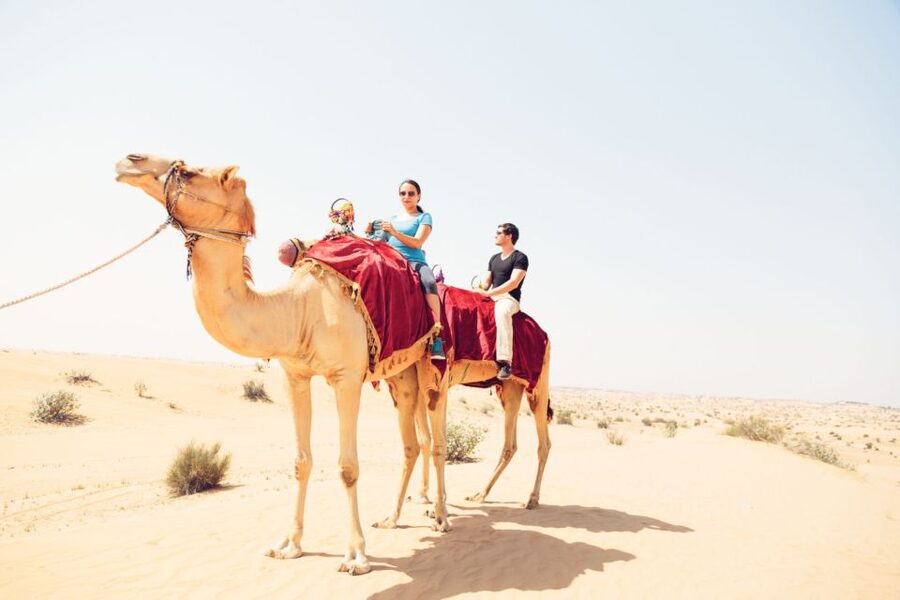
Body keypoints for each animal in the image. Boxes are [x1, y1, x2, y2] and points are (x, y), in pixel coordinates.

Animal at [114, 154, 450, 576]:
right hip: (401, 374)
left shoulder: (346, 378)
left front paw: (356, 555)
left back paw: (441, 518)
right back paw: (392, 518)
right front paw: (289, 544)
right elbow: (301, 462)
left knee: (438, 441)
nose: (129, 161)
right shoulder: (296, 376)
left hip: (434, 369)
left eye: (188, 171)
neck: (300, 310)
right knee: (413, 443)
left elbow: (347, 467)